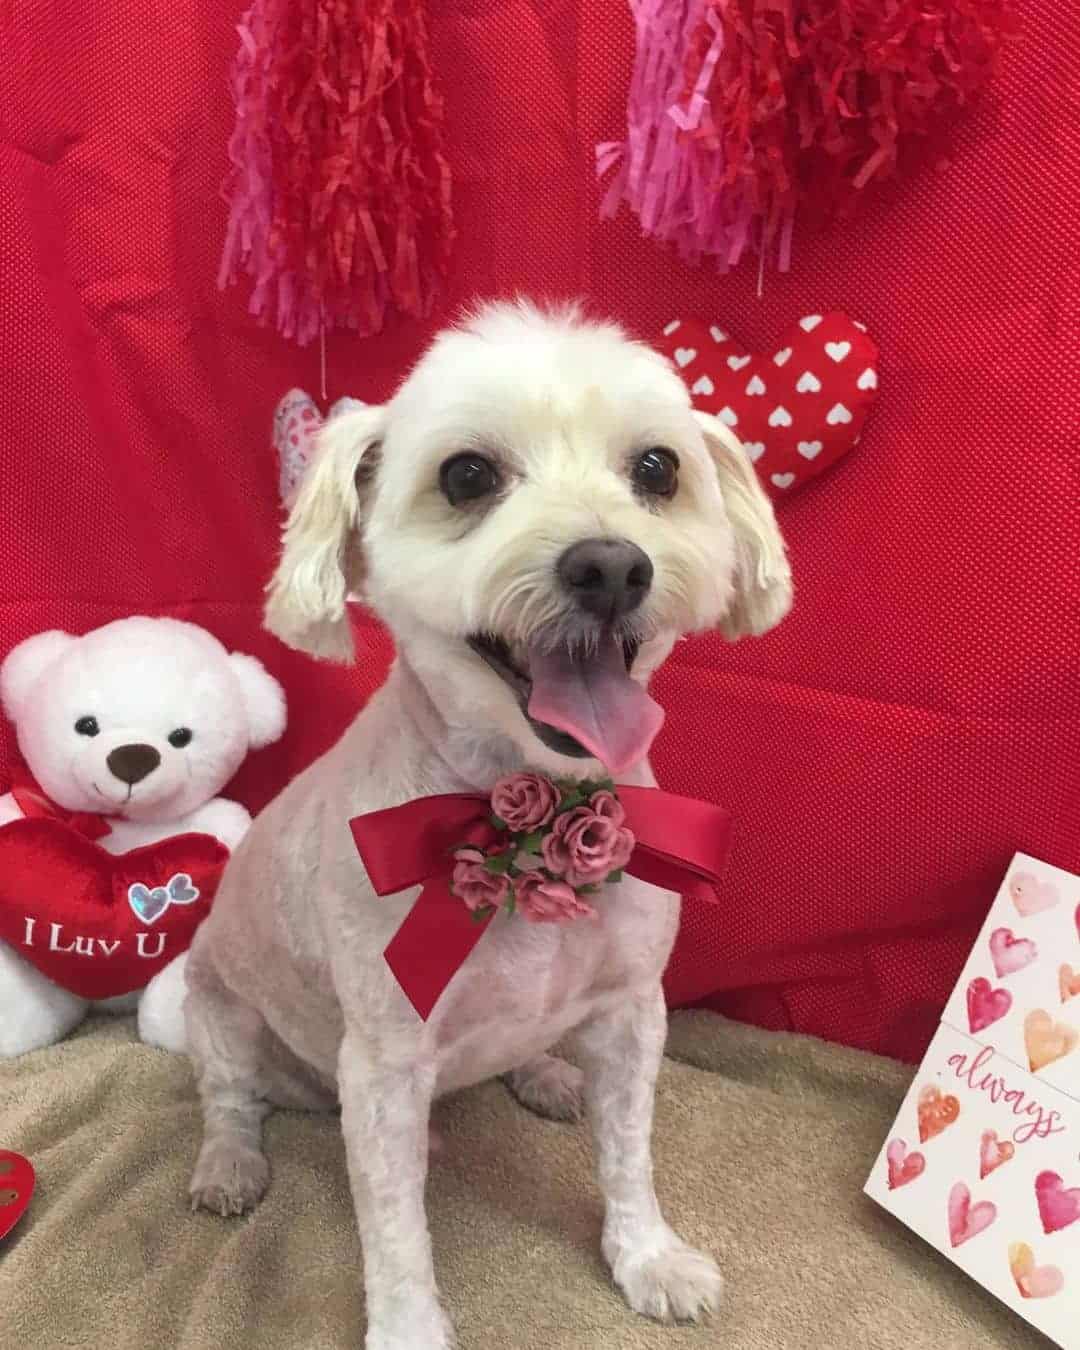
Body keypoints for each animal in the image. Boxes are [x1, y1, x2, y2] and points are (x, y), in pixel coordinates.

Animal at [187, 301, 793, 1344]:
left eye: (657, 469)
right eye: (467, 475)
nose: (611, 565)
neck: (535, 807)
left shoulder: (633, 1011)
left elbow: (630, 1155)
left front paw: (649, 1257)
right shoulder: (385, 1064)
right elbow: (396, 1230)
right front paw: (408, 1328)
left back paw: (544, 1072)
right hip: (215, 1003)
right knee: (230, 1098)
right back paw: (230, 1164)